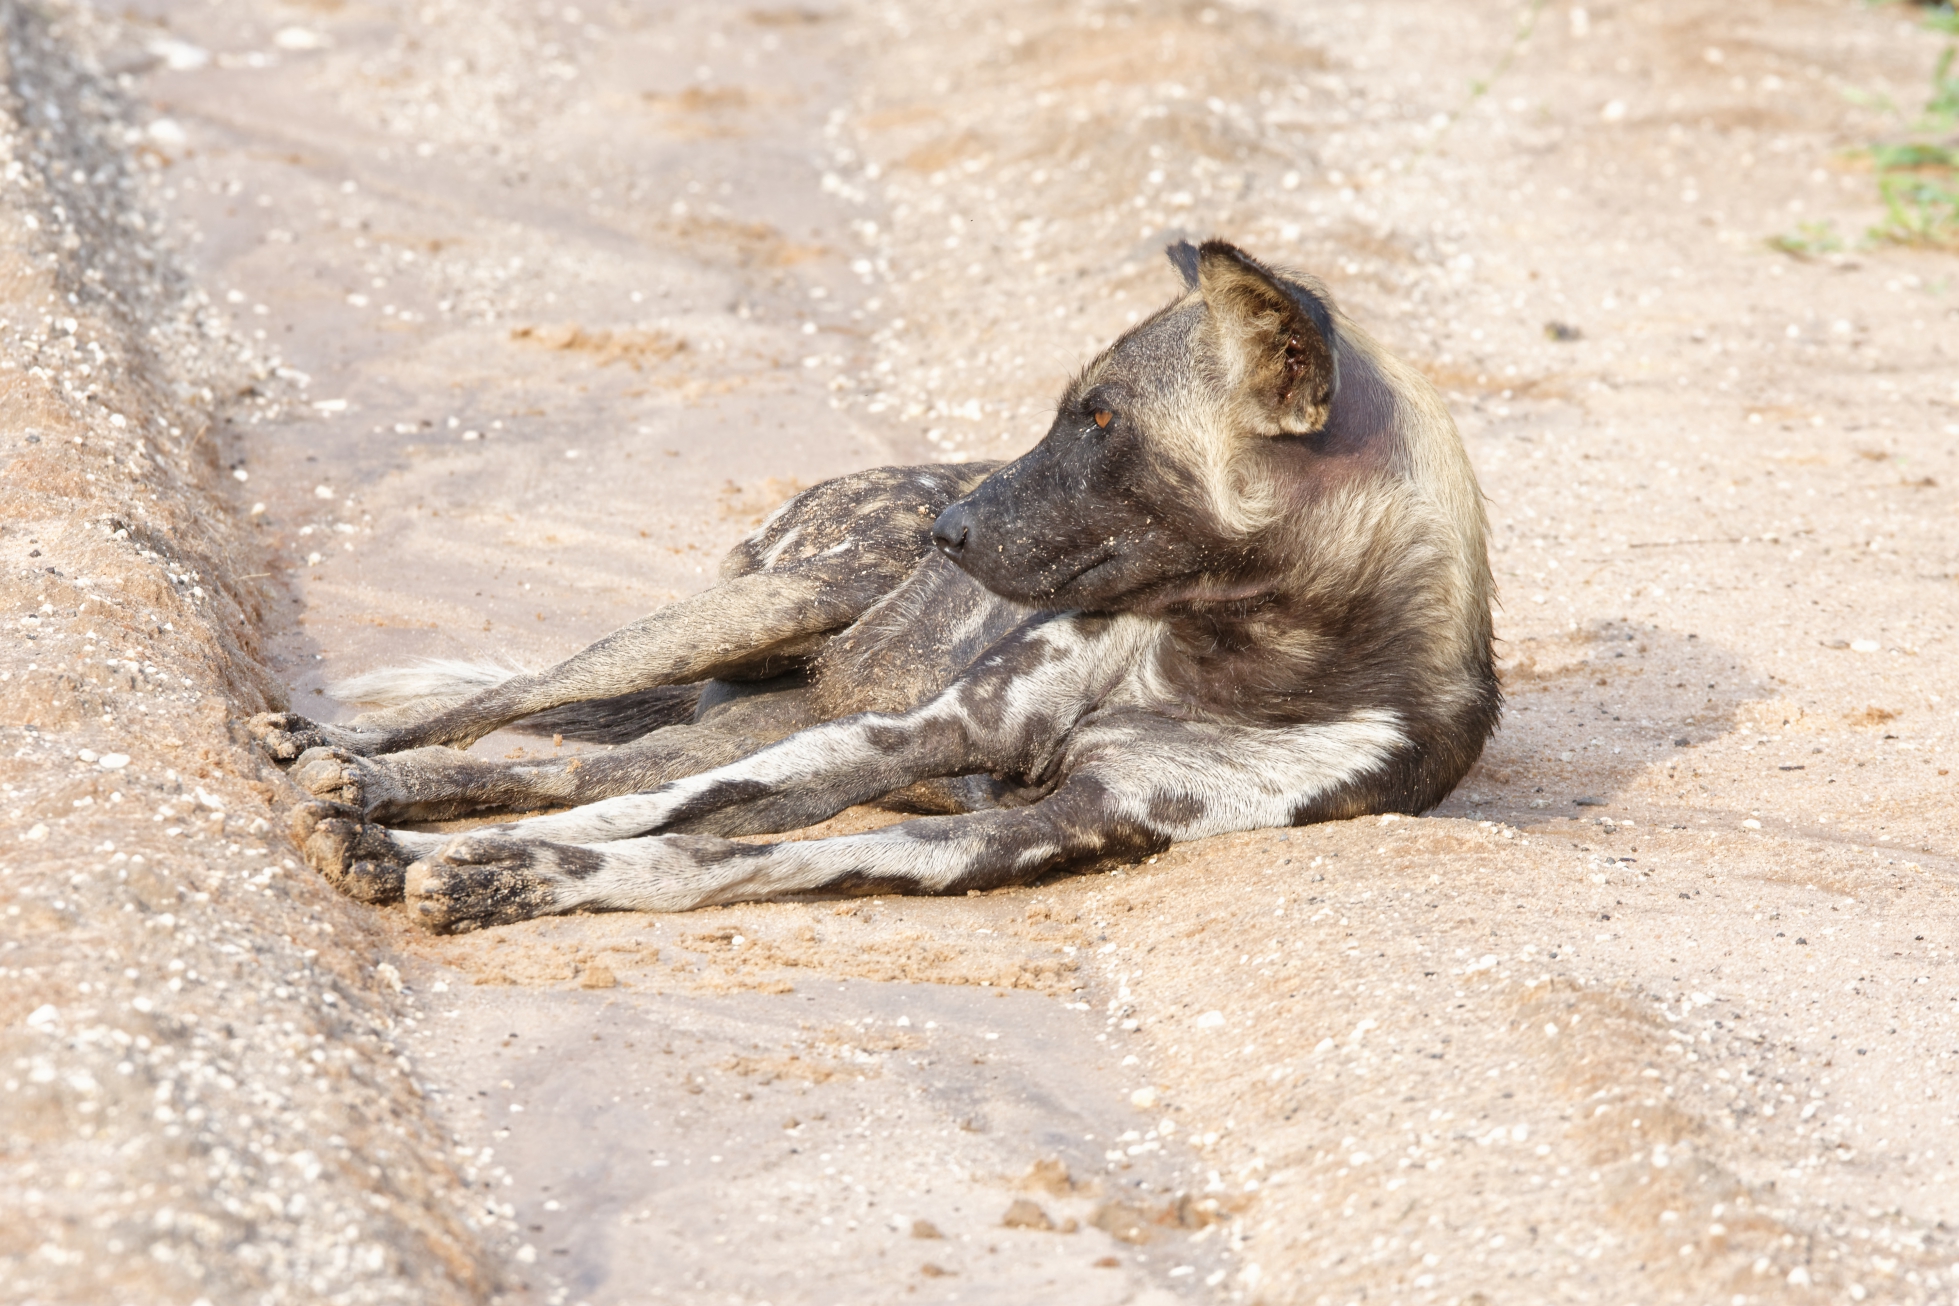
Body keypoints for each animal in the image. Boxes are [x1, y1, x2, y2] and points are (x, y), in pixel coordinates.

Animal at [251, 240, 1499, 932]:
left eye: (1100, 421)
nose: (950, 532)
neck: (1239, 649)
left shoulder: (1041, 827)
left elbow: (695, 854)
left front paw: (495, 876)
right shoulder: (925, 730)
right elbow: (626, 821)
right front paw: (409, 851)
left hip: (770, 708)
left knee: (582, 770)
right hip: (764, 615)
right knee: (514, 709)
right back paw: (340, 749)